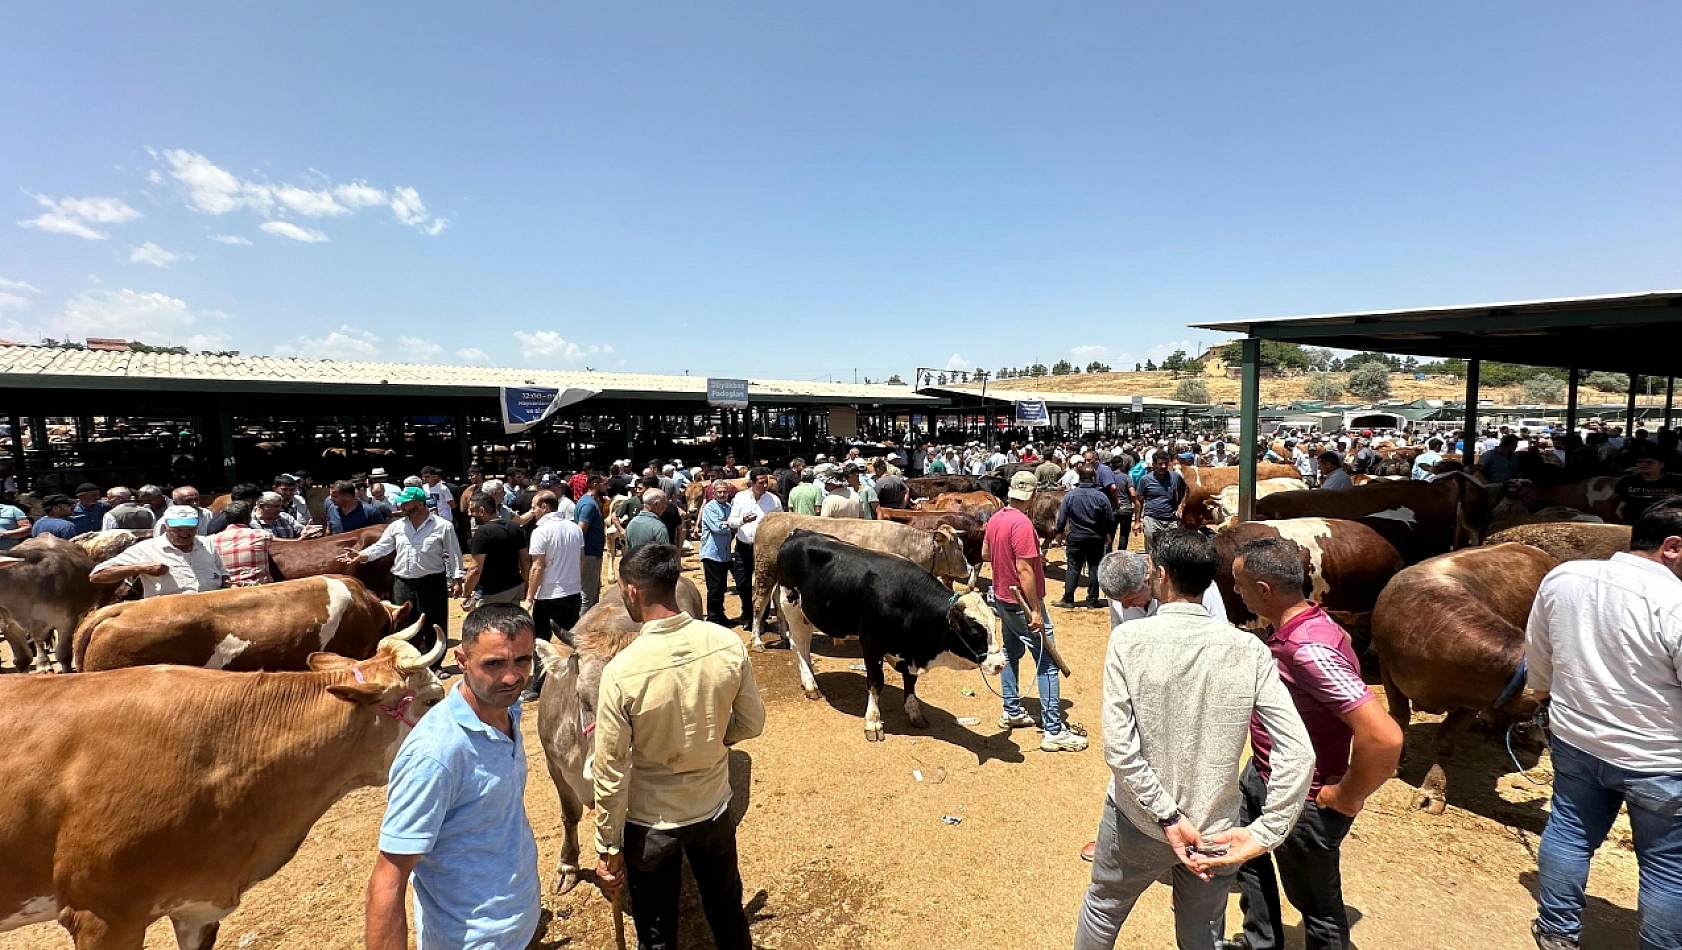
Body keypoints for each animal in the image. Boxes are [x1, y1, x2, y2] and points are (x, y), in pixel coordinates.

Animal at [770, 524, 995, 739]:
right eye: (974, 631)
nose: (999, 664)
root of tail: (798, 532)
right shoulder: (871, 643)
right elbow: (876, 682)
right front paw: (873, 722)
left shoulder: (907, 650)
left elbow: (910, 681)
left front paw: (914, 712)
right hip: (790, 603)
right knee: (797, 642)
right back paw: (810, 684)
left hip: (808, 613)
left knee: (805, 643)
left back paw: (808, 674)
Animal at [1372, 541, 1554, 813]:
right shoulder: (1387, 669)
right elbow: (1399, 718)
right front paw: (1394, 766)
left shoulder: (1476, 698)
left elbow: (1445, 741)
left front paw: (1432, 793)